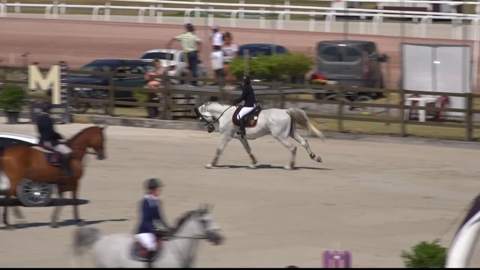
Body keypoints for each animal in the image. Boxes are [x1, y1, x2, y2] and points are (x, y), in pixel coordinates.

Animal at [195, 101, 326, 169]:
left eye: (201, 117)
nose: (209, 129)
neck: (225, 114)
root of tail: (286, 111)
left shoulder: (225, 136)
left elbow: (219, 149)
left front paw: (211, 164)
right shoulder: (241, 138)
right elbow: (248, 149)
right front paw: (254, 163)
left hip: (280, 136)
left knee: (293, 148)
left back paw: (290, 166)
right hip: (291, 132)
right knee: (304, 142)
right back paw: (315, 157)